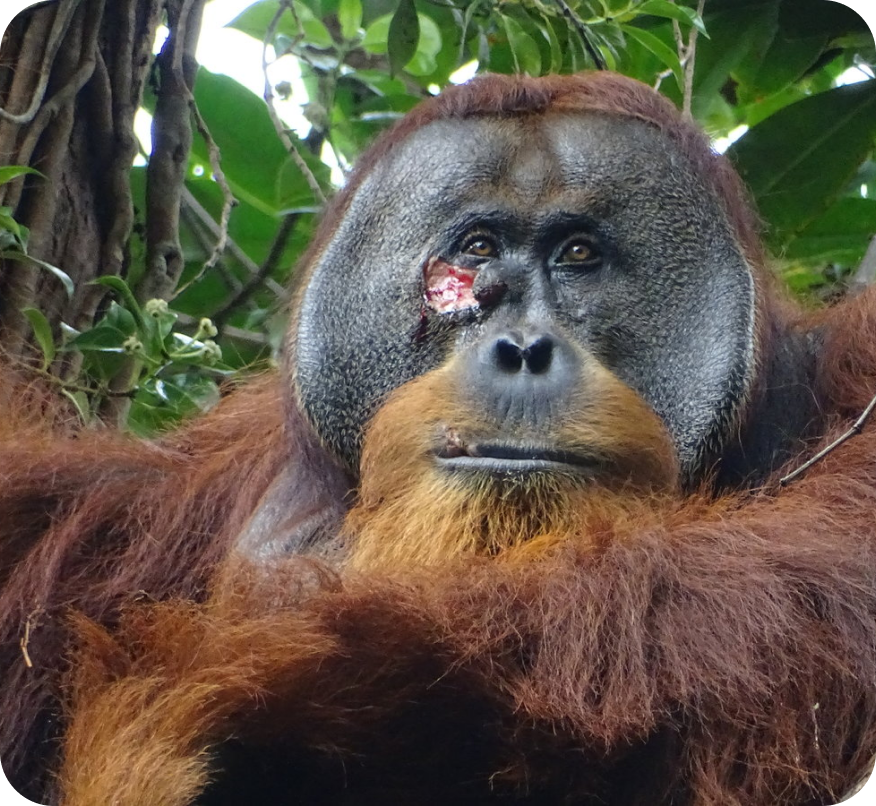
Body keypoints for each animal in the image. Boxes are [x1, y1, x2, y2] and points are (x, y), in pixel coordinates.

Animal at [2, 72, 876, 805]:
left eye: (579, 254)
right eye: (478, 248)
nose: (521, 347)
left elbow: (788, 587)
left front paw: (231, 693)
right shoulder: (159, 502)